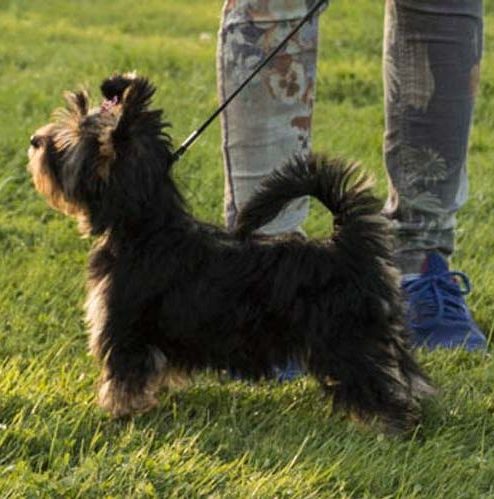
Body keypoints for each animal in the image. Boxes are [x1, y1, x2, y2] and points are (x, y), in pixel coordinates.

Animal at [28, 74, 434, 433]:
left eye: (70, 136)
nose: (35, 140)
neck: (143, 225)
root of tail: (349, 244)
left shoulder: (126, 326)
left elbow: (124, 374)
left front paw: (119, 412)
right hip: (376, 329)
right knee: (404, 371)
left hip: (345, 337)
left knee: (375, 381)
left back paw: (388, 426)